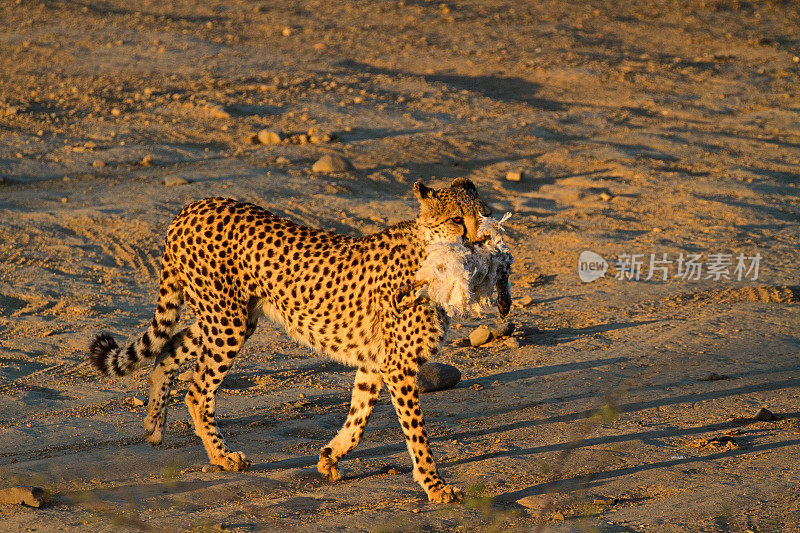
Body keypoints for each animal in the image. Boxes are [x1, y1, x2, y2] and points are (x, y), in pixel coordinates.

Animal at [89, 177, 512, 500]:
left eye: (484, 215)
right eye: (457, 220)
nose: (481, 241)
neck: (430, 251)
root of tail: (194, 205)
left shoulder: (376, 364)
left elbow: (358, 418)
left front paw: (330, 457)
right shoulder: (398, 367)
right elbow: (417, 435)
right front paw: (435, 487)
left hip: (231, 317)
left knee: (169, 350)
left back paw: (154, 425)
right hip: (227, 322)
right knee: (196, 390)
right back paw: (221, 456)